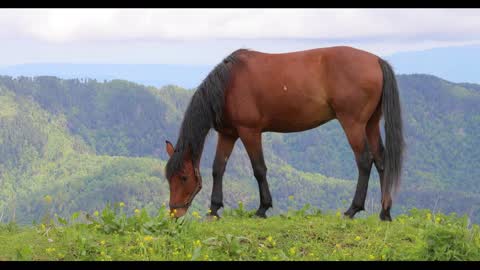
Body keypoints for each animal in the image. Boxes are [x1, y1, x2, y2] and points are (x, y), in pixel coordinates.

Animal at [165, 45, 404, 220]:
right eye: (168, 177)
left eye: (184, 177)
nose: (175, 212)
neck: (229, 83)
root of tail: (376, 60)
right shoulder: (228, 134)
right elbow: (218, 169)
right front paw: (214, 210)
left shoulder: (250, 132)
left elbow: (259, 169)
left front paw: (262, 209)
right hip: (370, 124)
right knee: (381, 160)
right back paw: (385, 212)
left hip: (353, 124)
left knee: (364, 160)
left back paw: (353, 209)